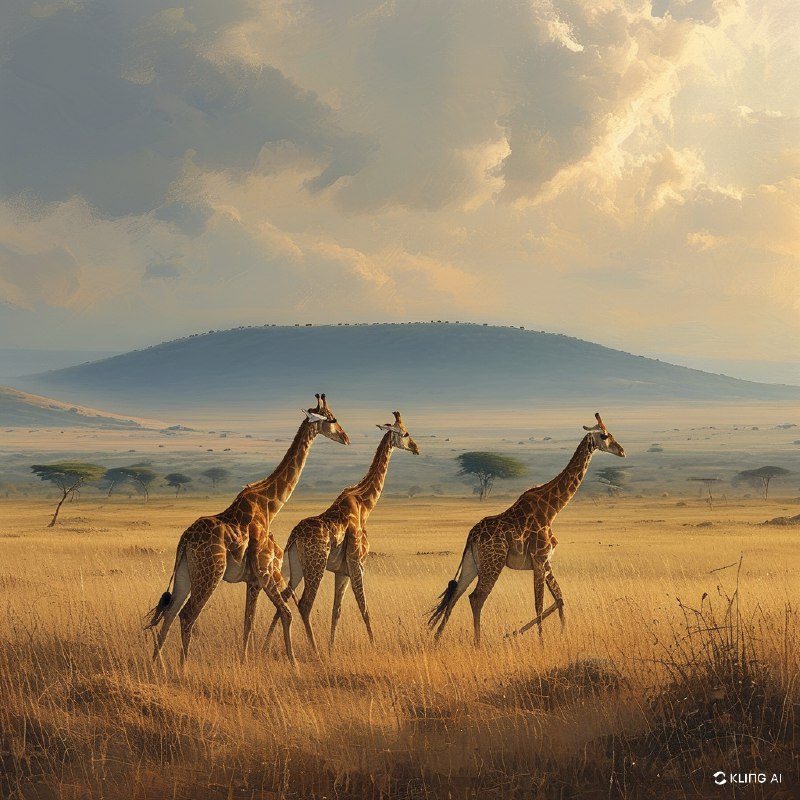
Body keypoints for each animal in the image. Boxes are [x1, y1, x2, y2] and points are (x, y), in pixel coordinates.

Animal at [145, 394, 350, 667]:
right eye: (332, 419)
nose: (346, 438)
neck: (270, 506)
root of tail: (185, 540)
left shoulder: (252, 580)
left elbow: (248, 622)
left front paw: (244, 661)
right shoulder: (265, 570)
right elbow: (285, 613)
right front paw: (295, 665)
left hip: (185, 573)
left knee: (170, 611)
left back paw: (157, 666)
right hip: (211, 573)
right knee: (187, 614)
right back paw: (182, 669)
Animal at [266, 411, 420, 654]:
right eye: (405, 433)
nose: (416, 448)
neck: (365, 505)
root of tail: (294, 538)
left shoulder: (342, 571)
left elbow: (336, 611)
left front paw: (332, 647)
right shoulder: (357, 563)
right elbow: (364, 607)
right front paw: (373, 645)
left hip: (296, 567)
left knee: (283, 599)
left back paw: (265, 645)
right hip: (316, 565)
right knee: (305, 604)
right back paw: (315, 651)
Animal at [428, 413, 625, 645]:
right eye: (604, 435)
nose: (622, 451)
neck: (552, 509)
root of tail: (471, 536)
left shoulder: (547, 561)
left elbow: (559, 599)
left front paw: (559, 634)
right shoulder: (539, 559)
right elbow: (539, 604)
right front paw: (541, 641)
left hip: (472, 564)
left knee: (455, 594)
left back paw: (437, 639)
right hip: (493, 563)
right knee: (476, 597)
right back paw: (478, 642)